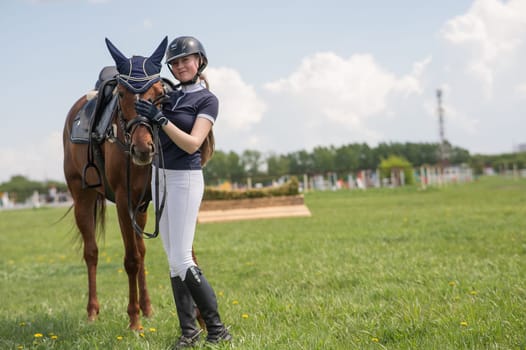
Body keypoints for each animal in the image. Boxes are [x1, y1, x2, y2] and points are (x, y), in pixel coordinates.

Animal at [63, 37, 168, 330]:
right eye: (121, 94)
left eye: (159, 92)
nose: (143, 149)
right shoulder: (123, 201)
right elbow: (131, 259)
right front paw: (134, 320)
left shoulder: (142, 203)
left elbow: (141, 254)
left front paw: (146, 309)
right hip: (82, 197)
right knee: (91, 252)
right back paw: (92, 311)